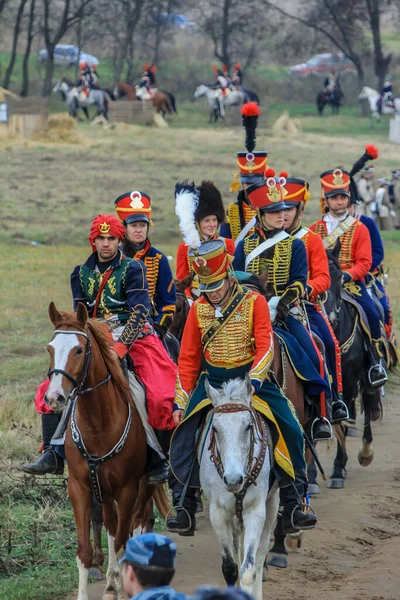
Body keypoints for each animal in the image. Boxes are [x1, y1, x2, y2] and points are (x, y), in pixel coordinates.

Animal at [45, 302, 161, 600]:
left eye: (79, 350)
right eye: (50, 348)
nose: (54, 397)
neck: (98, 424)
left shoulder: (127, 488)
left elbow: (121, 541)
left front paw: (124, 583)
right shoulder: (80, 487)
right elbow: (85, 551)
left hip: (144, 482)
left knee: (138, 521)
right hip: (105, 489)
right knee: (110, 522)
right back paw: (110, 583)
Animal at [200, 376, 278, 600]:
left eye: (248, 427)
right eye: (215, 429)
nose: (233, 479)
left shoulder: (256, 510)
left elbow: (248, 569)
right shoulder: (217, 512)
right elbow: (230, 568)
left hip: (272, 502)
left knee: (260, 554)